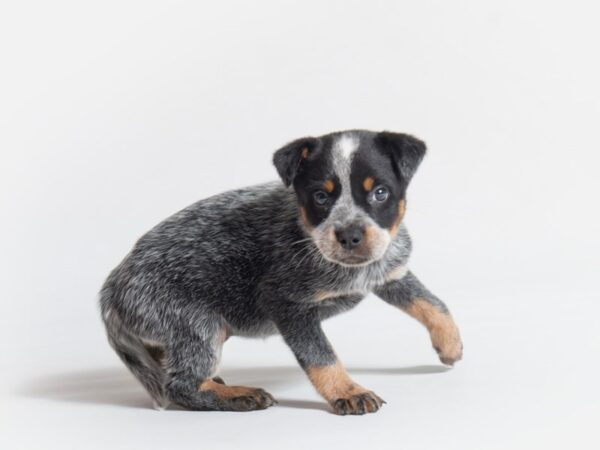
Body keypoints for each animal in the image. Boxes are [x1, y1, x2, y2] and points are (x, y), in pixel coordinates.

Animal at [99, 129, 464, 414]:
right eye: (320, 196)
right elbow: (320, 355)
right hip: (196, 325)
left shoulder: (388, 270)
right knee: (180, 384)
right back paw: (239, 395)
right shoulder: (287, 304)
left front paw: (450, 343)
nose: (349, 235)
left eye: (380, 192)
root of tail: (111, 290)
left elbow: (432, 303)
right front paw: (347, 391)